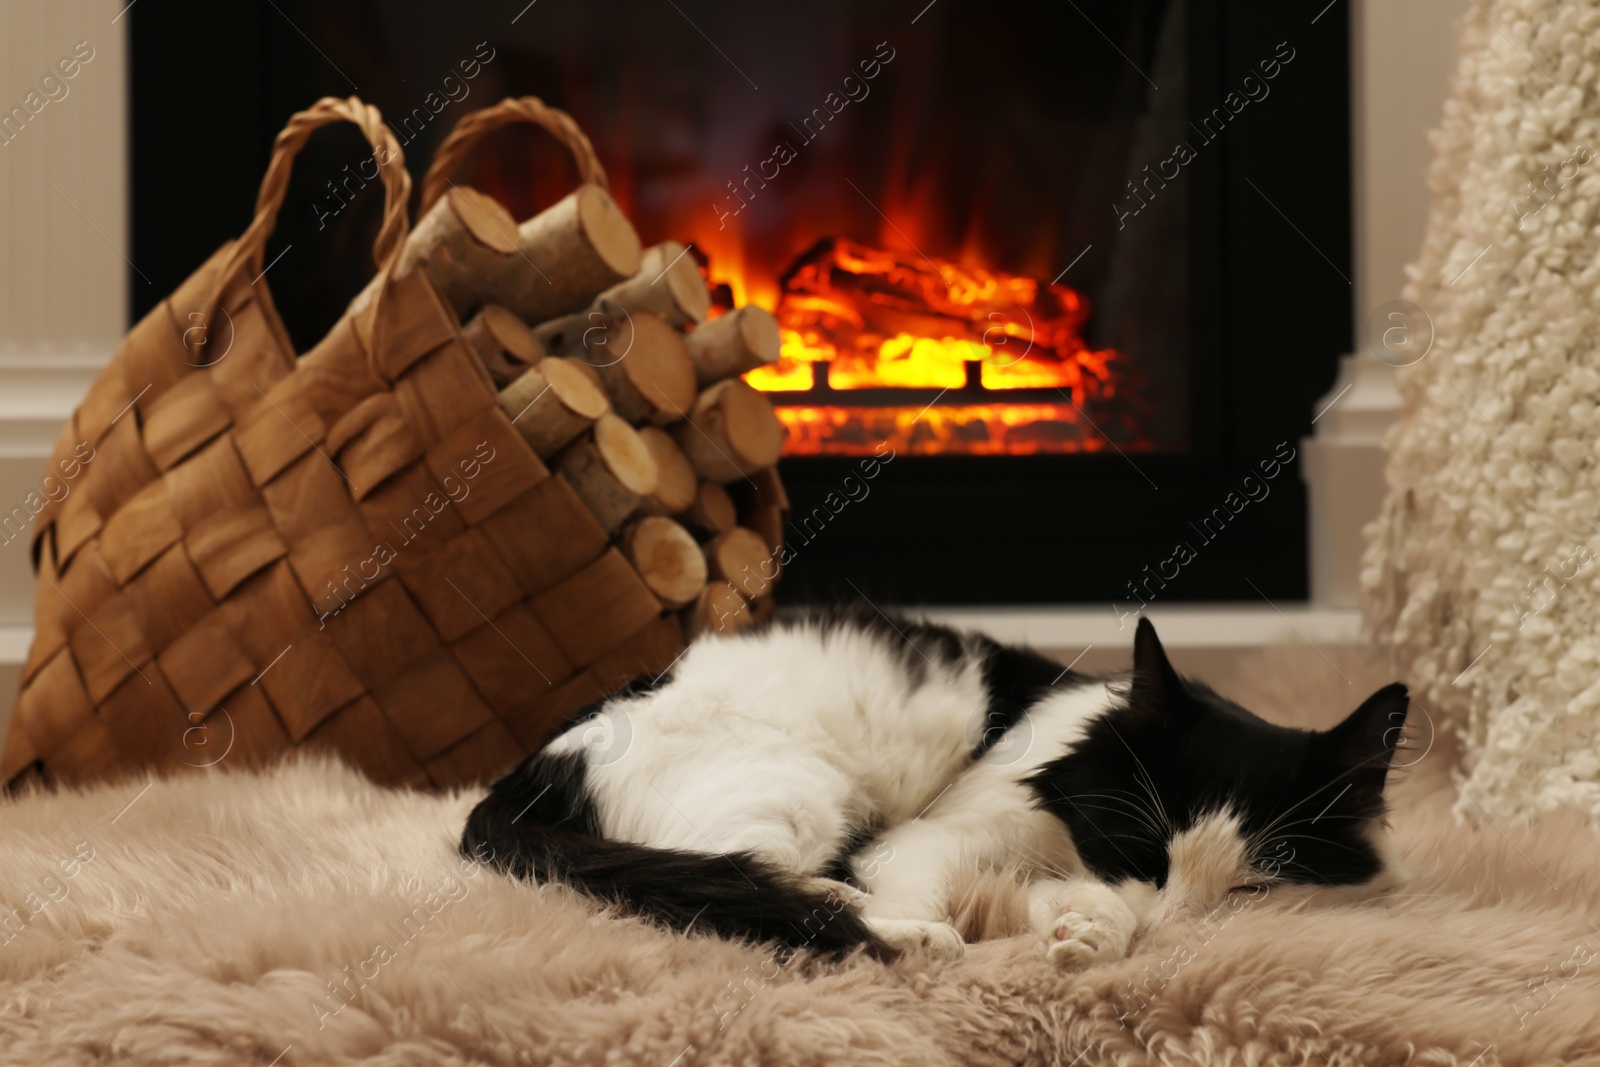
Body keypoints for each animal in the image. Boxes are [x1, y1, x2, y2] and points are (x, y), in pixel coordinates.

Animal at [460, 604, 1401, 966]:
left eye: (1250, 889)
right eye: (1142, 849)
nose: (1176, 934)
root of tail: (518, 782)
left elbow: (1063, 905)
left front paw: (1085, 934)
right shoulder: (921, 839)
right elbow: (937, 885)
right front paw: (1099, 927)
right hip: (802, 790)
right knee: (775, 882)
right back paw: (905, 934)